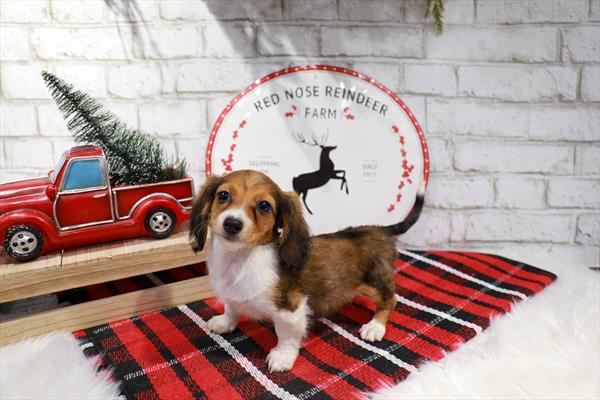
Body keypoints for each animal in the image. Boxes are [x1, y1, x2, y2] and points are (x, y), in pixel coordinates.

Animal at [190, 170, 424, 372]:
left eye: (264, 206)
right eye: (223, 195)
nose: (232, 223)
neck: (241, 259)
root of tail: (379, 229)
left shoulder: (290, 308)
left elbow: (285, 335)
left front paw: (282, 356)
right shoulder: (232, 295)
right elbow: (232, 308)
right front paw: (225, 322)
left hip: (375, 282)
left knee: (390, 300)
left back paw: (375, 327)